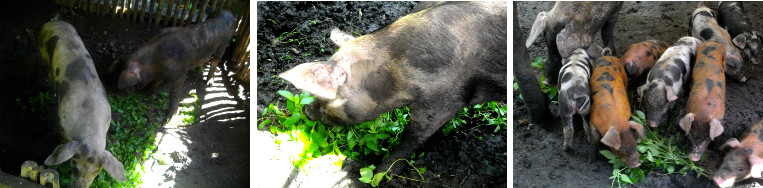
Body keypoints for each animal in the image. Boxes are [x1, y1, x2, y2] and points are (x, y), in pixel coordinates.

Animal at [38, 20, 125, 187]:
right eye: (75, 167)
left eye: (96, 173)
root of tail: (54, 21)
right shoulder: (62, 122)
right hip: (42, 50)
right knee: (48, 71)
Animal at [280, 1, 508, 176]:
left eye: (328, 96)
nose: (305, 111)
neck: (395, 73)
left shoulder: (443, 100)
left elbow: (412, 138)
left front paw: (380, 174)